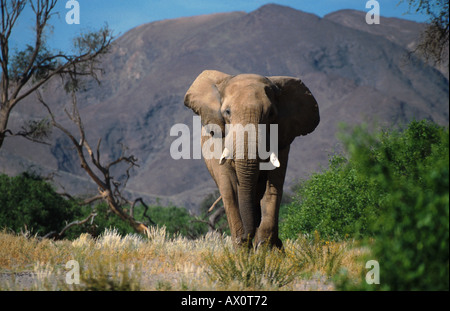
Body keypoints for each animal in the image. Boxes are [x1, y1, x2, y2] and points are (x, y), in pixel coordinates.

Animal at [184, 70, 320, 249]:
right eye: (227, 112)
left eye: (271, 114)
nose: (247, 237)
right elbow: (230, 190)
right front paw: (241, 248)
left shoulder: (282, 142)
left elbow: (273, 188)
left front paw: (262, 247)